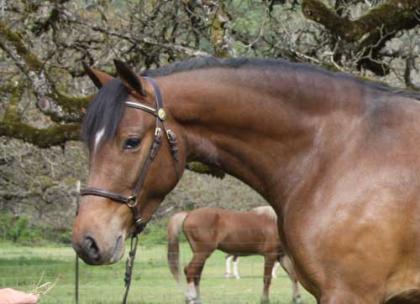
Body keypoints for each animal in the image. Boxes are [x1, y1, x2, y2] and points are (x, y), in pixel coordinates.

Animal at [167, 205, 302, 302]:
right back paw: (191, 298)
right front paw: (264, 300)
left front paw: (297, 298)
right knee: (190, 271)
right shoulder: (270, 255)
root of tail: (188, 214)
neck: (275, 222)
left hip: (200, 254)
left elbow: (294, 276)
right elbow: (267, 279)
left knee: (196, 275)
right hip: (202, 253)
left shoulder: (282, 256)